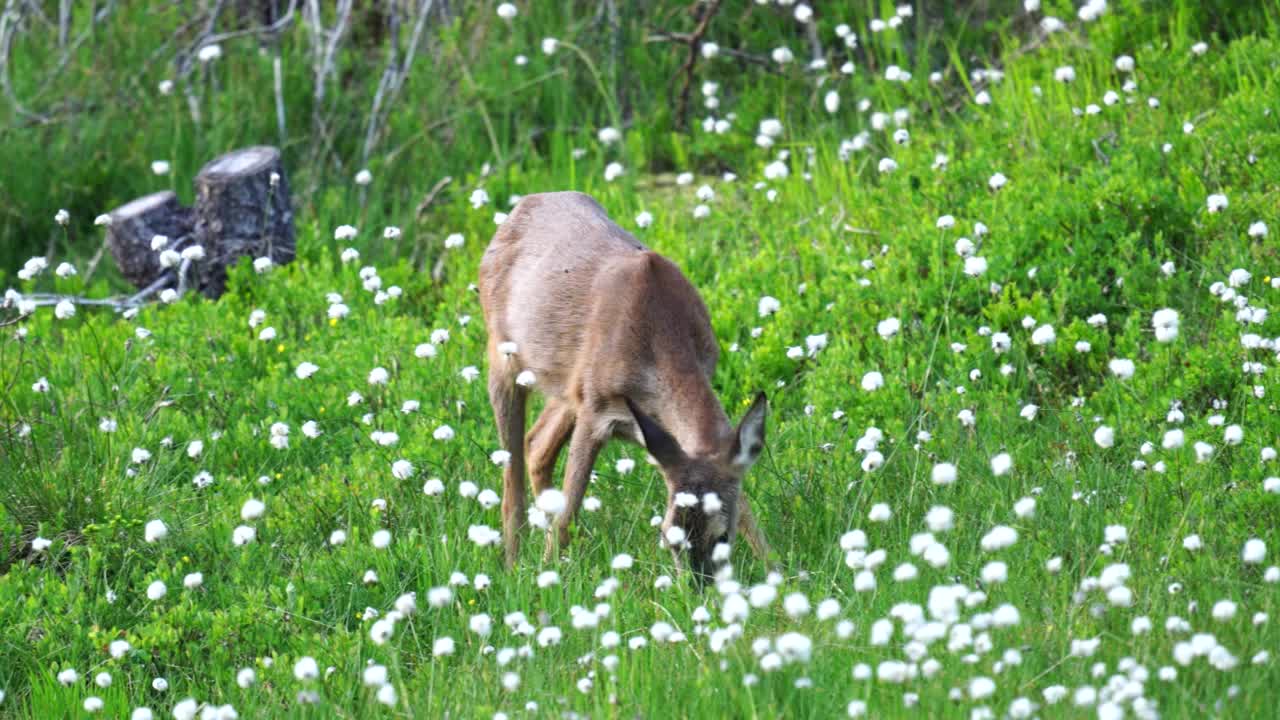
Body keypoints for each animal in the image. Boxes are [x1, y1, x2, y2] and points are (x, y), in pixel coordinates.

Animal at [478, 189, 768, 576]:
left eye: (723, 536)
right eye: (669, 538)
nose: (699, 584)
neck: (661, 331)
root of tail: (521, 206)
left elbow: (746, 505)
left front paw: (779, 570)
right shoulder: (595, 412)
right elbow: (569, 510)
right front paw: (550, 572)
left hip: (569, 384)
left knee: (537, 444)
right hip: (504, 358)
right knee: (512, 478)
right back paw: (512, 566)